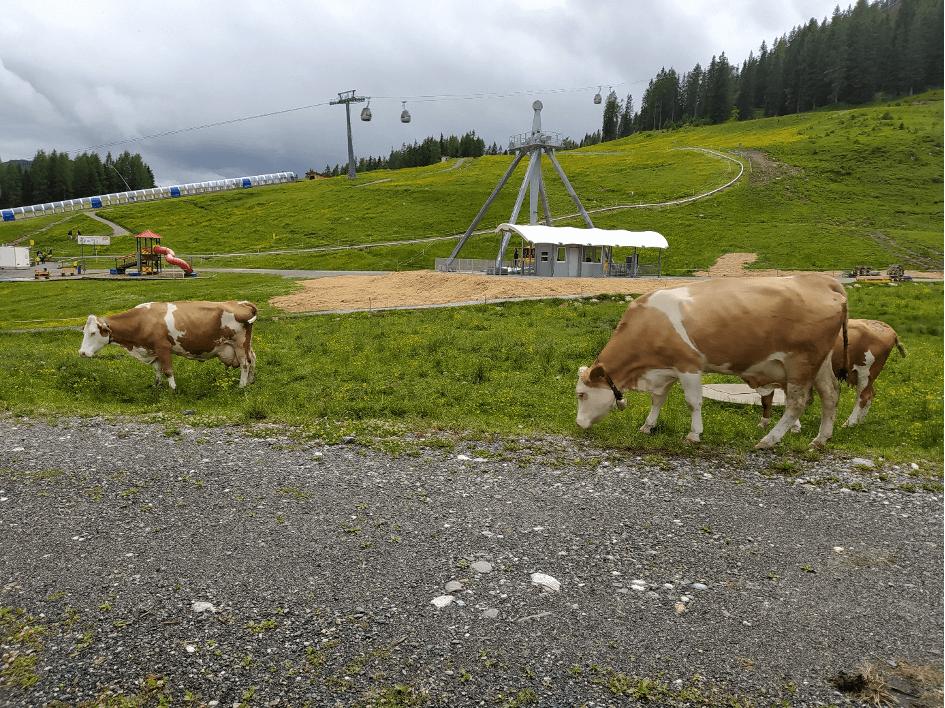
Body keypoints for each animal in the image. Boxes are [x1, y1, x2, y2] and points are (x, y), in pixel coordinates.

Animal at [79, 298, 258, 390]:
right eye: (84, 332)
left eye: (93, 333)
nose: (82, 353)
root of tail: (241, 302)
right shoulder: (153, 349)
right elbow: (158, 369)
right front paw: (157, 385)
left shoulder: (163, 347)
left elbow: (167, 370)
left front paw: (173, 388)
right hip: (246, 345)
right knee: (253, 358)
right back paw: (250, 381)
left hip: (239, 344)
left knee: (245, 363)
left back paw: (242, 385)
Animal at [576, 274, 848, 450]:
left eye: (581, 394)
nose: (578, 423)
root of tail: (823, 281)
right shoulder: (666, 368)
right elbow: (658, 399)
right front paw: (648, 426)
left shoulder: (689, 365)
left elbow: (693, 402)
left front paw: (694, 434)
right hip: (820, 362)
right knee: (830, 395)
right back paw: (821, 439)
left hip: (801, 362)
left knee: (797, 403)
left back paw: (769, 440)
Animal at [756, 318, 904, 428]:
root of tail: (886, 327)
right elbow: (766, 399)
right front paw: (763, 423)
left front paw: (794, 426)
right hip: (859, 374)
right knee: (871, 393)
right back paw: (859, 421)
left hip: (865, 372)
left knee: (864, 396)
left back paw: (849, 423)